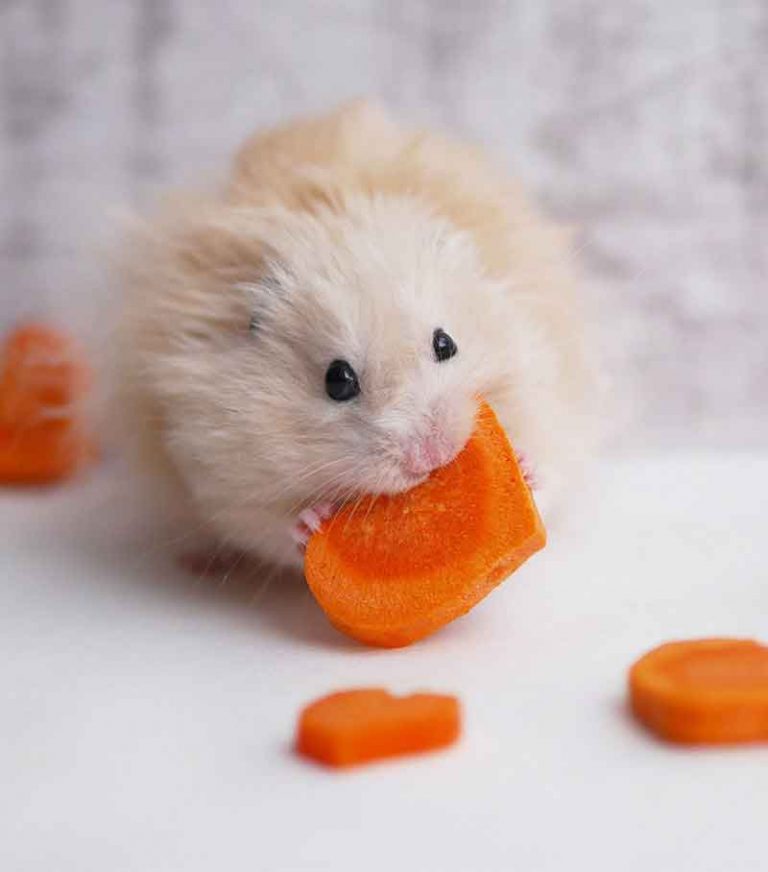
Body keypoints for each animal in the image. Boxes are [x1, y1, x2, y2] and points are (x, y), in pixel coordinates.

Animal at [113, 100, 599, 571]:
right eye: (338, 381)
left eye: (446, 344)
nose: (432, 456)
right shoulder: (223, 471)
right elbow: (271, 526)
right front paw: (310, 521)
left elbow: (547, 463)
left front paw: (525, 469)